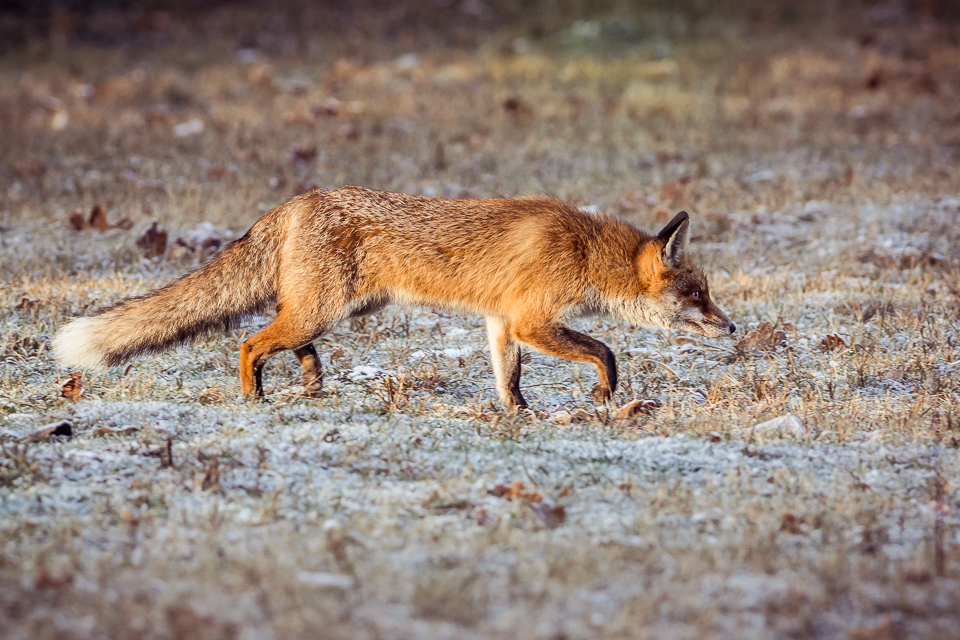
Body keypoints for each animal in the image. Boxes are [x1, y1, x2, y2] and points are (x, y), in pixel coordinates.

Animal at [54, 185, 736, 410]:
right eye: (698, 294)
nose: (731, 329)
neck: (586, 253)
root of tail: (294, 201)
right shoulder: (530, 320)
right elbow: (605, 351)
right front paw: (604, 395)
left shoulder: (501, 323)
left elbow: (508, 378)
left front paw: (518, 415)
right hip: (324, 307)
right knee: (249, 342)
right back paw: (255, 395)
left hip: (339, 309)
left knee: (287, 338)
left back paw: (310, 380)